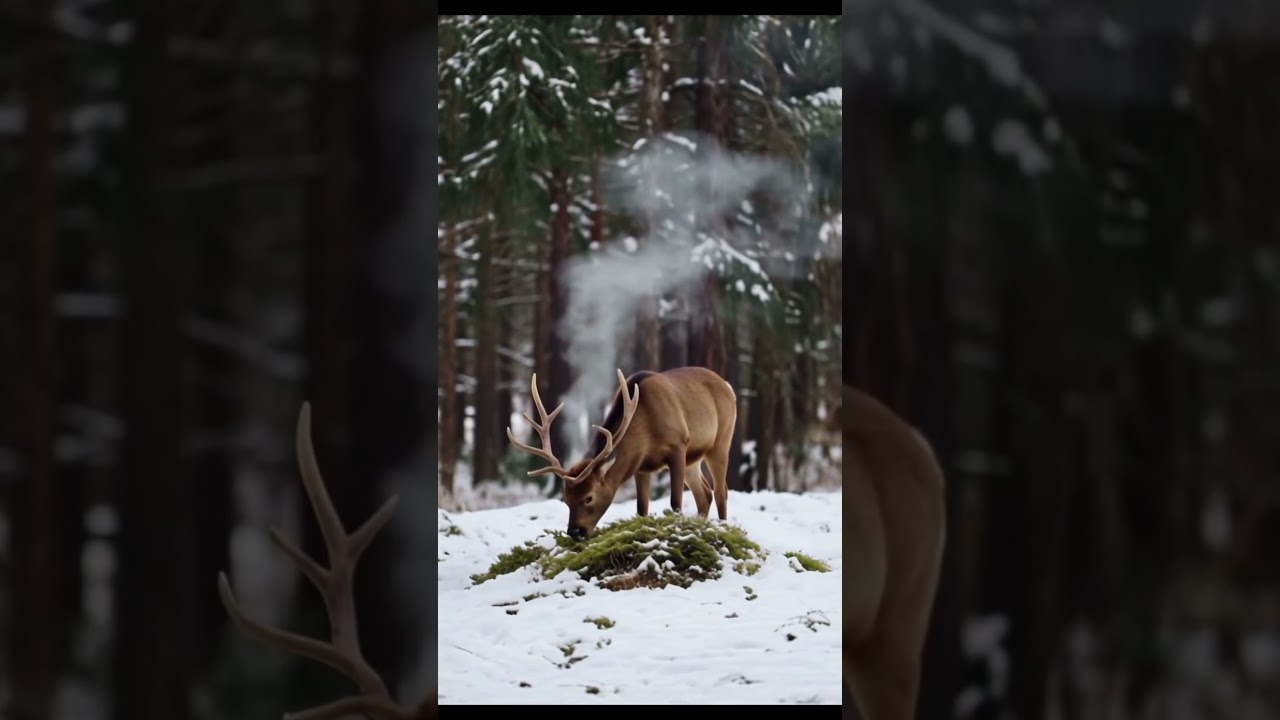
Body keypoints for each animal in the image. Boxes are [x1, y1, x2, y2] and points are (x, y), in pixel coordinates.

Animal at [506, 366, 737, 540]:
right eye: (565, 499)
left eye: (588, 498)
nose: (575, 532)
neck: (647, 431)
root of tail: (728, 385)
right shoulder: (643, 466)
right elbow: (641, 509)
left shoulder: (679, 445)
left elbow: (675, 503)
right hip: (694, 459)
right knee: (704, 494)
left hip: (721, 441)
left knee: (721, 491)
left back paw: (724, 529)